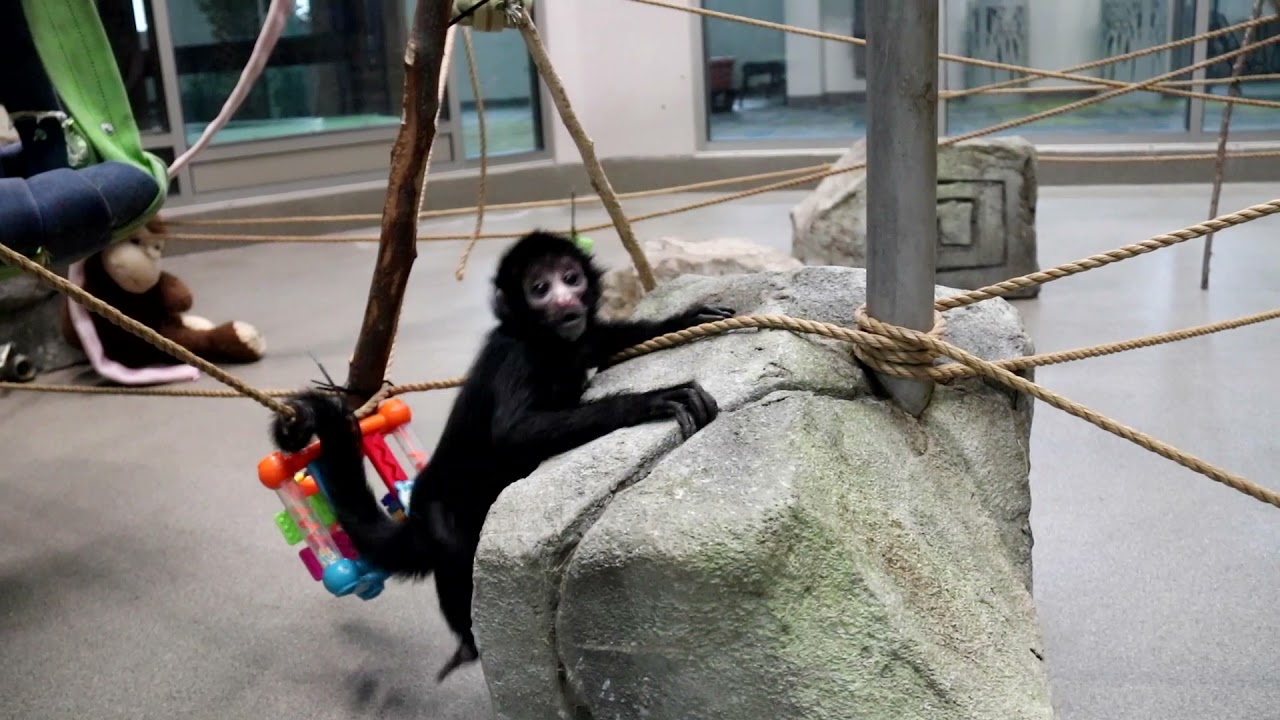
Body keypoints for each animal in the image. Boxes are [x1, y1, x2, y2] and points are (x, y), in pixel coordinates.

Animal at [272, 230, 733, 683]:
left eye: (570, 278)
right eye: (539, 289)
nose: (564, 301)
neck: (542, 342)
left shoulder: (576, 340)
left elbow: (601, 337)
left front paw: (690, 317)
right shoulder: (515, 353)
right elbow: (513, 433)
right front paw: (655, 400)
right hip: (439, 508)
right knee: (455, 549)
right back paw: (466, 642)